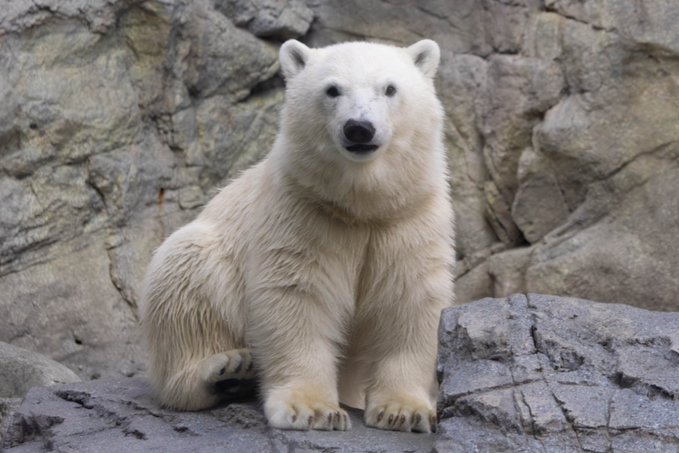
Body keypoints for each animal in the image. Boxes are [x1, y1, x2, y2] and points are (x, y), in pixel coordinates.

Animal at [140, 38, 454, 433]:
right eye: (332, 89)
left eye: (390, 88)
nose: (359, 128)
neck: (362, 207)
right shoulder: (302, 211)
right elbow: (298, 296)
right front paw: (311, 409)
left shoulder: (408, 217)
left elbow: (409, 299)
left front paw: (406, 411)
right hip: (207, 253)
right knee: (185, 282)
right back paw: (226, 369)